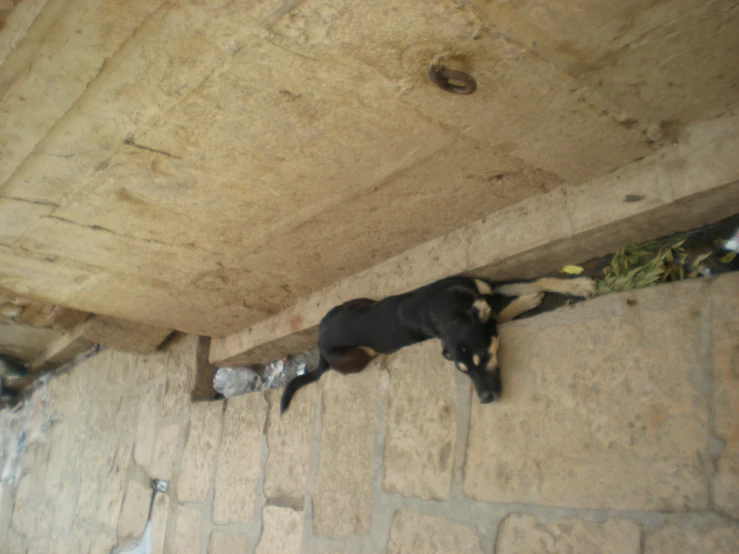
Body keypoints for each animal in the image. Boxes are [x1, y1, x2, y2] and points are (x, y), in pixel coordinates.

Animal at [278, 274, 596, 412]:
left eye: (483, 358)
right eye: (463, 372)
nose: (485, 400)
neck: (444, 307)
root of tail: (319, 344)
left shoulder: (488, 286)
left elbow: (539, 279)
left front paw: (576, 285)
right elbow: (503, 312)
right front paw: (525, 302)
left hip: (360, 301)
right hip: (355, 355)